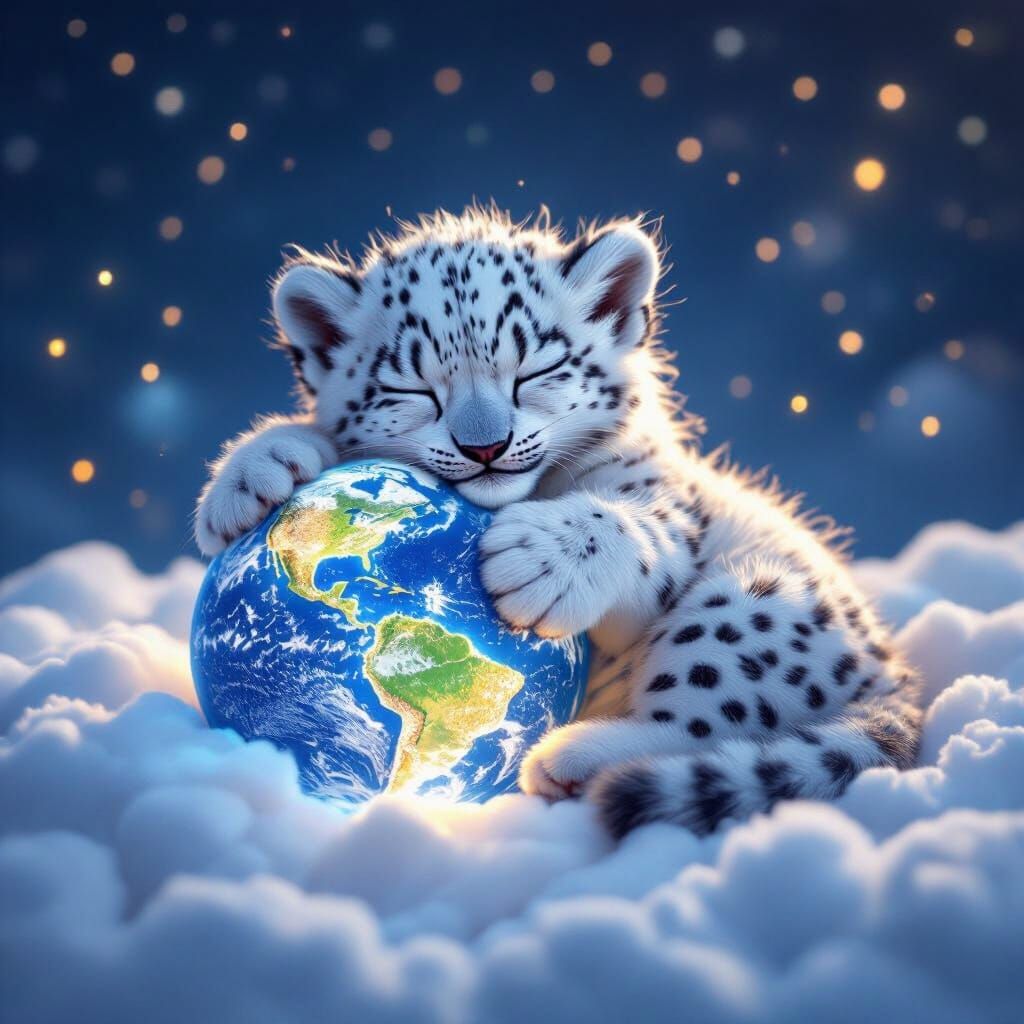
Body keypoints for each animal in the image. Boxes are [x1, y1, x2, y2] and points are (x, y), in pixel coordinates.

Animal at [195, 205, 921, 838]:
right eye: (413, 389)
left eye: (534, 370)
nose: (484, 446)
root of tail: (896, 679)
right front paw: (248, 477)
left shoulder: (665, 508)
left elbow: (634, 528)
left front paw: (538, 563)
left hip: (744, 605)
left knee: (713, 718)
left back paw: (572, 759)